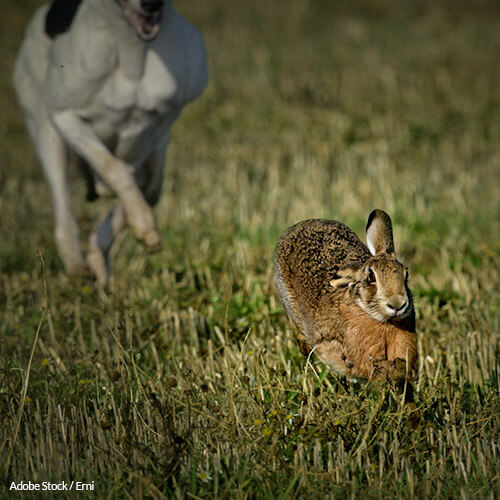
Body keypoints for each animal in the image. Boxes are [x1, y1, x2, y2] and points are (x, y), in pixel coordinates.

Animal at [12, 0, 207, 282]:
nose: (151, 4)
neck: (130, 49)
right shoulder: (65, 117)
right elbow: (114, 168)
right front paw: (142, 221)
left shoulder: (163, 119)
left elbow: (140, 180)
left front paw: (140, 224)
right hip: (45, 131)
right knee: (64, 208)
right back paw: (77, 264)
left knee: (147, 184)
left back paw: (99, 253)